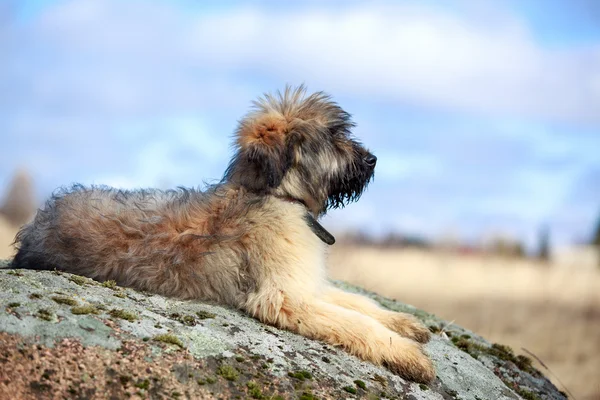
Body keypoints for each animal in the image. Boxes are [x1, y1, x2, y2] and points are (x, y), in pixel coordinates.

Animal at [12, 86, 436, 382]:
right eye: (332, 136)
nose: (373, 160)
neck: (276, 195)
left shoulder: (305, 281)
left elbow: (358, 303)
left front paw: (406, 324)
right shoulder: (283, 297)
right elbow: (355, 322)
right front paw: (408, 356)